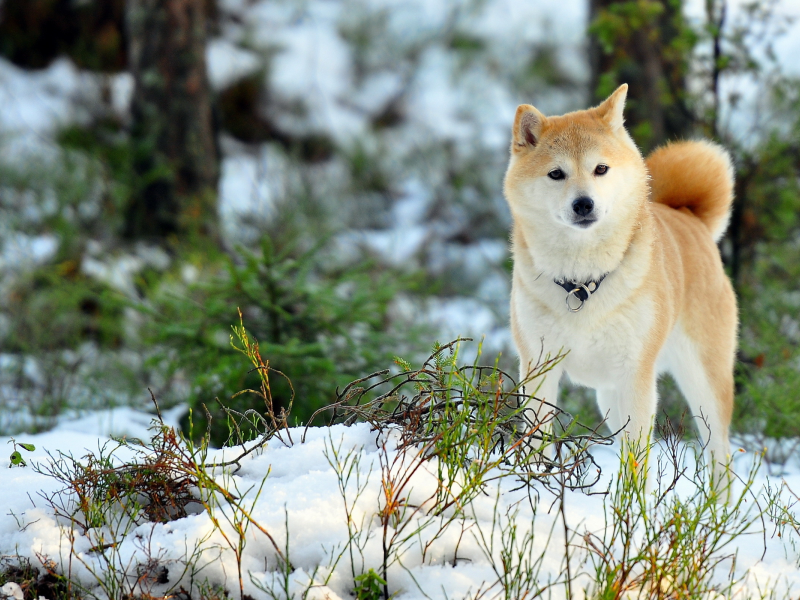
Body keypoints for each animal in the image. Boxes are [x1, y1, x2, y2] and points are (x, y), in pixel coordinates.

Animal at [506, 84, 736, 472]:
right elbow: (537, 441)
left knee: (720, 458)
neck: (581, 283)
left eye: (601, 168)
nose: (583, 204)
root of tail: (690, 217)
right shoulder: (539, 367)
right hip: (610, 401)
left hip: (704, 387)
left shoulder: (635, 376)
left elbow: (637, 466)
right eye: (556, 174)